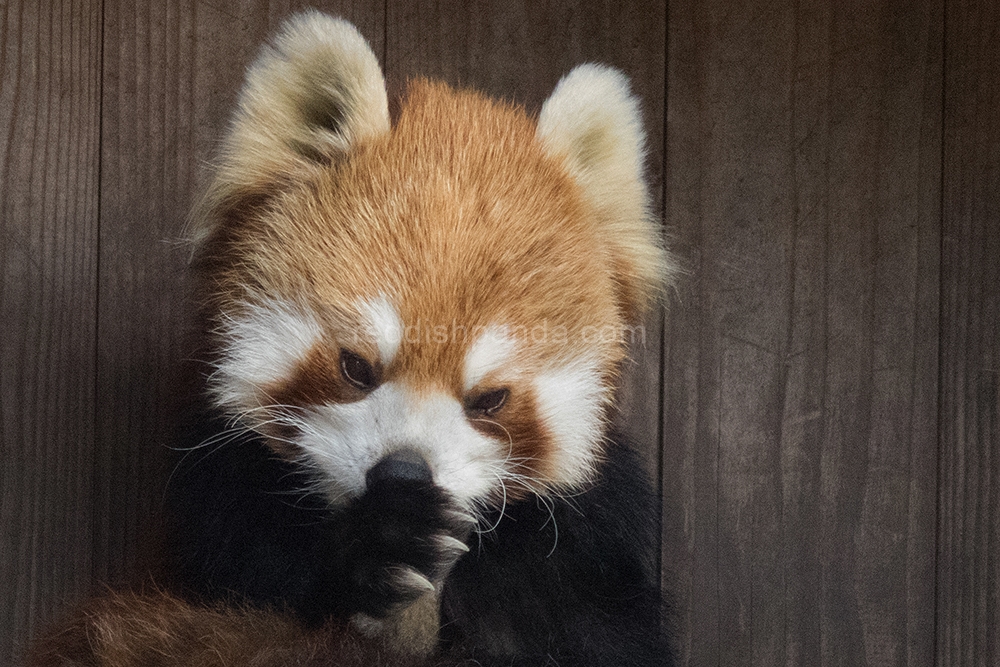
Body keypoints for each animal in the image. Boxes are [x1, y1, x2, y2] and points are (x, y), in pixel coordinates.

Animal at [29, 11, 680, 667]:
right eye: (356, 367)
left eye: (490, 400)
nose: (404, 474)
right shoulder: (213, 501)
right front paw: (381, 544)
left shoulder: (590, 543)